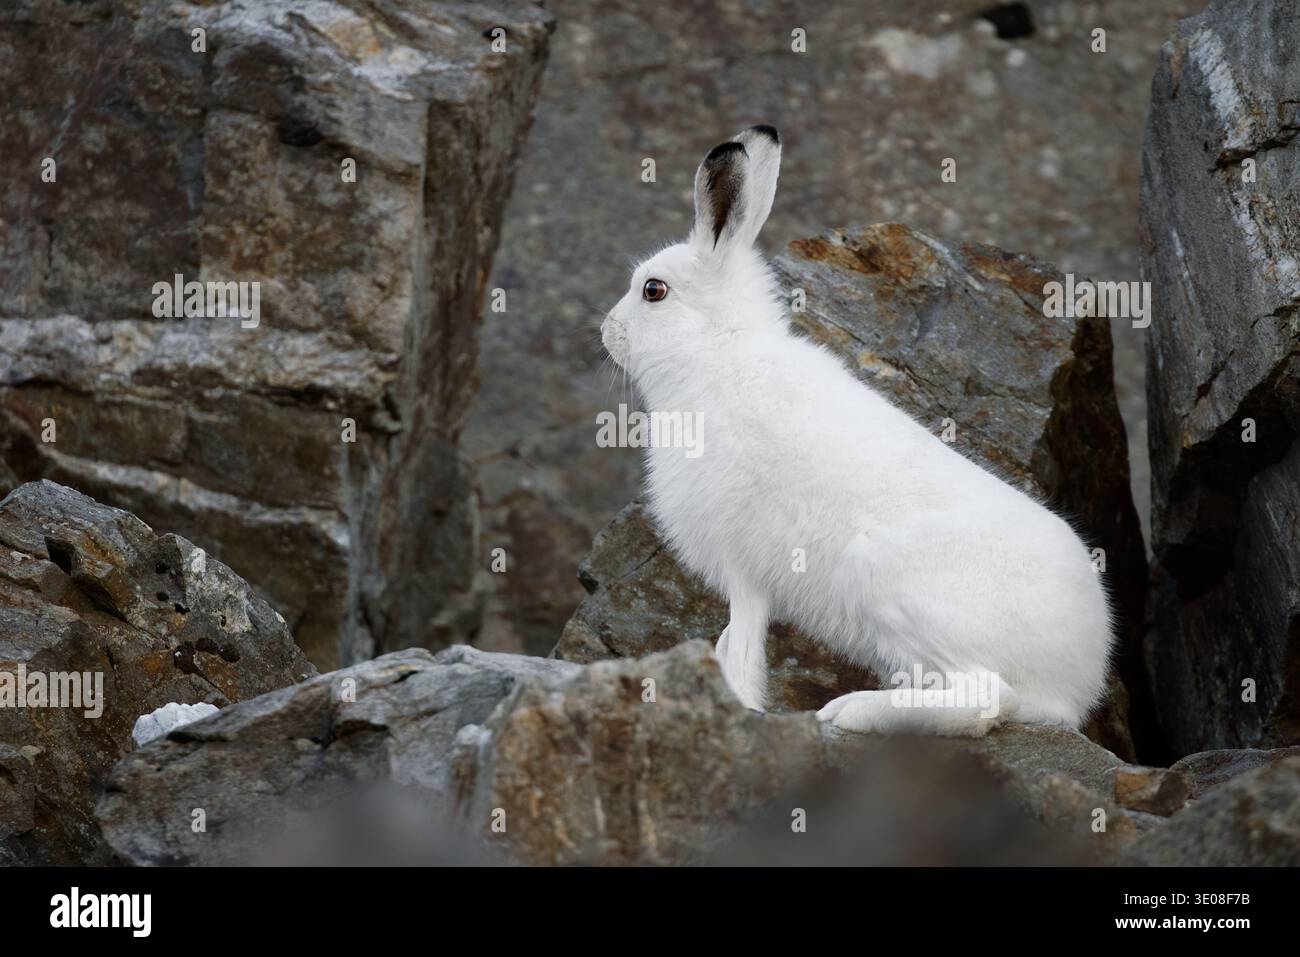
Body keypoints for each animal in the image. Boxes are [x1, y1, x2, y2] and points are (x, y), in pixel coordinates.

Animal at [600, 125, 1114, 737]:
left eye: (653, 291)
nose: (606, 331)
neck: (716, 350)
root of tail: (1076, 685)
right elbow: (728, 640)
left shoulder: (742, 562)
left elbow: (742, 642)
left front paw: (738, 704)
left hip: (892, 588)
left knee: (986, 700)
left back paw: (853, 711)